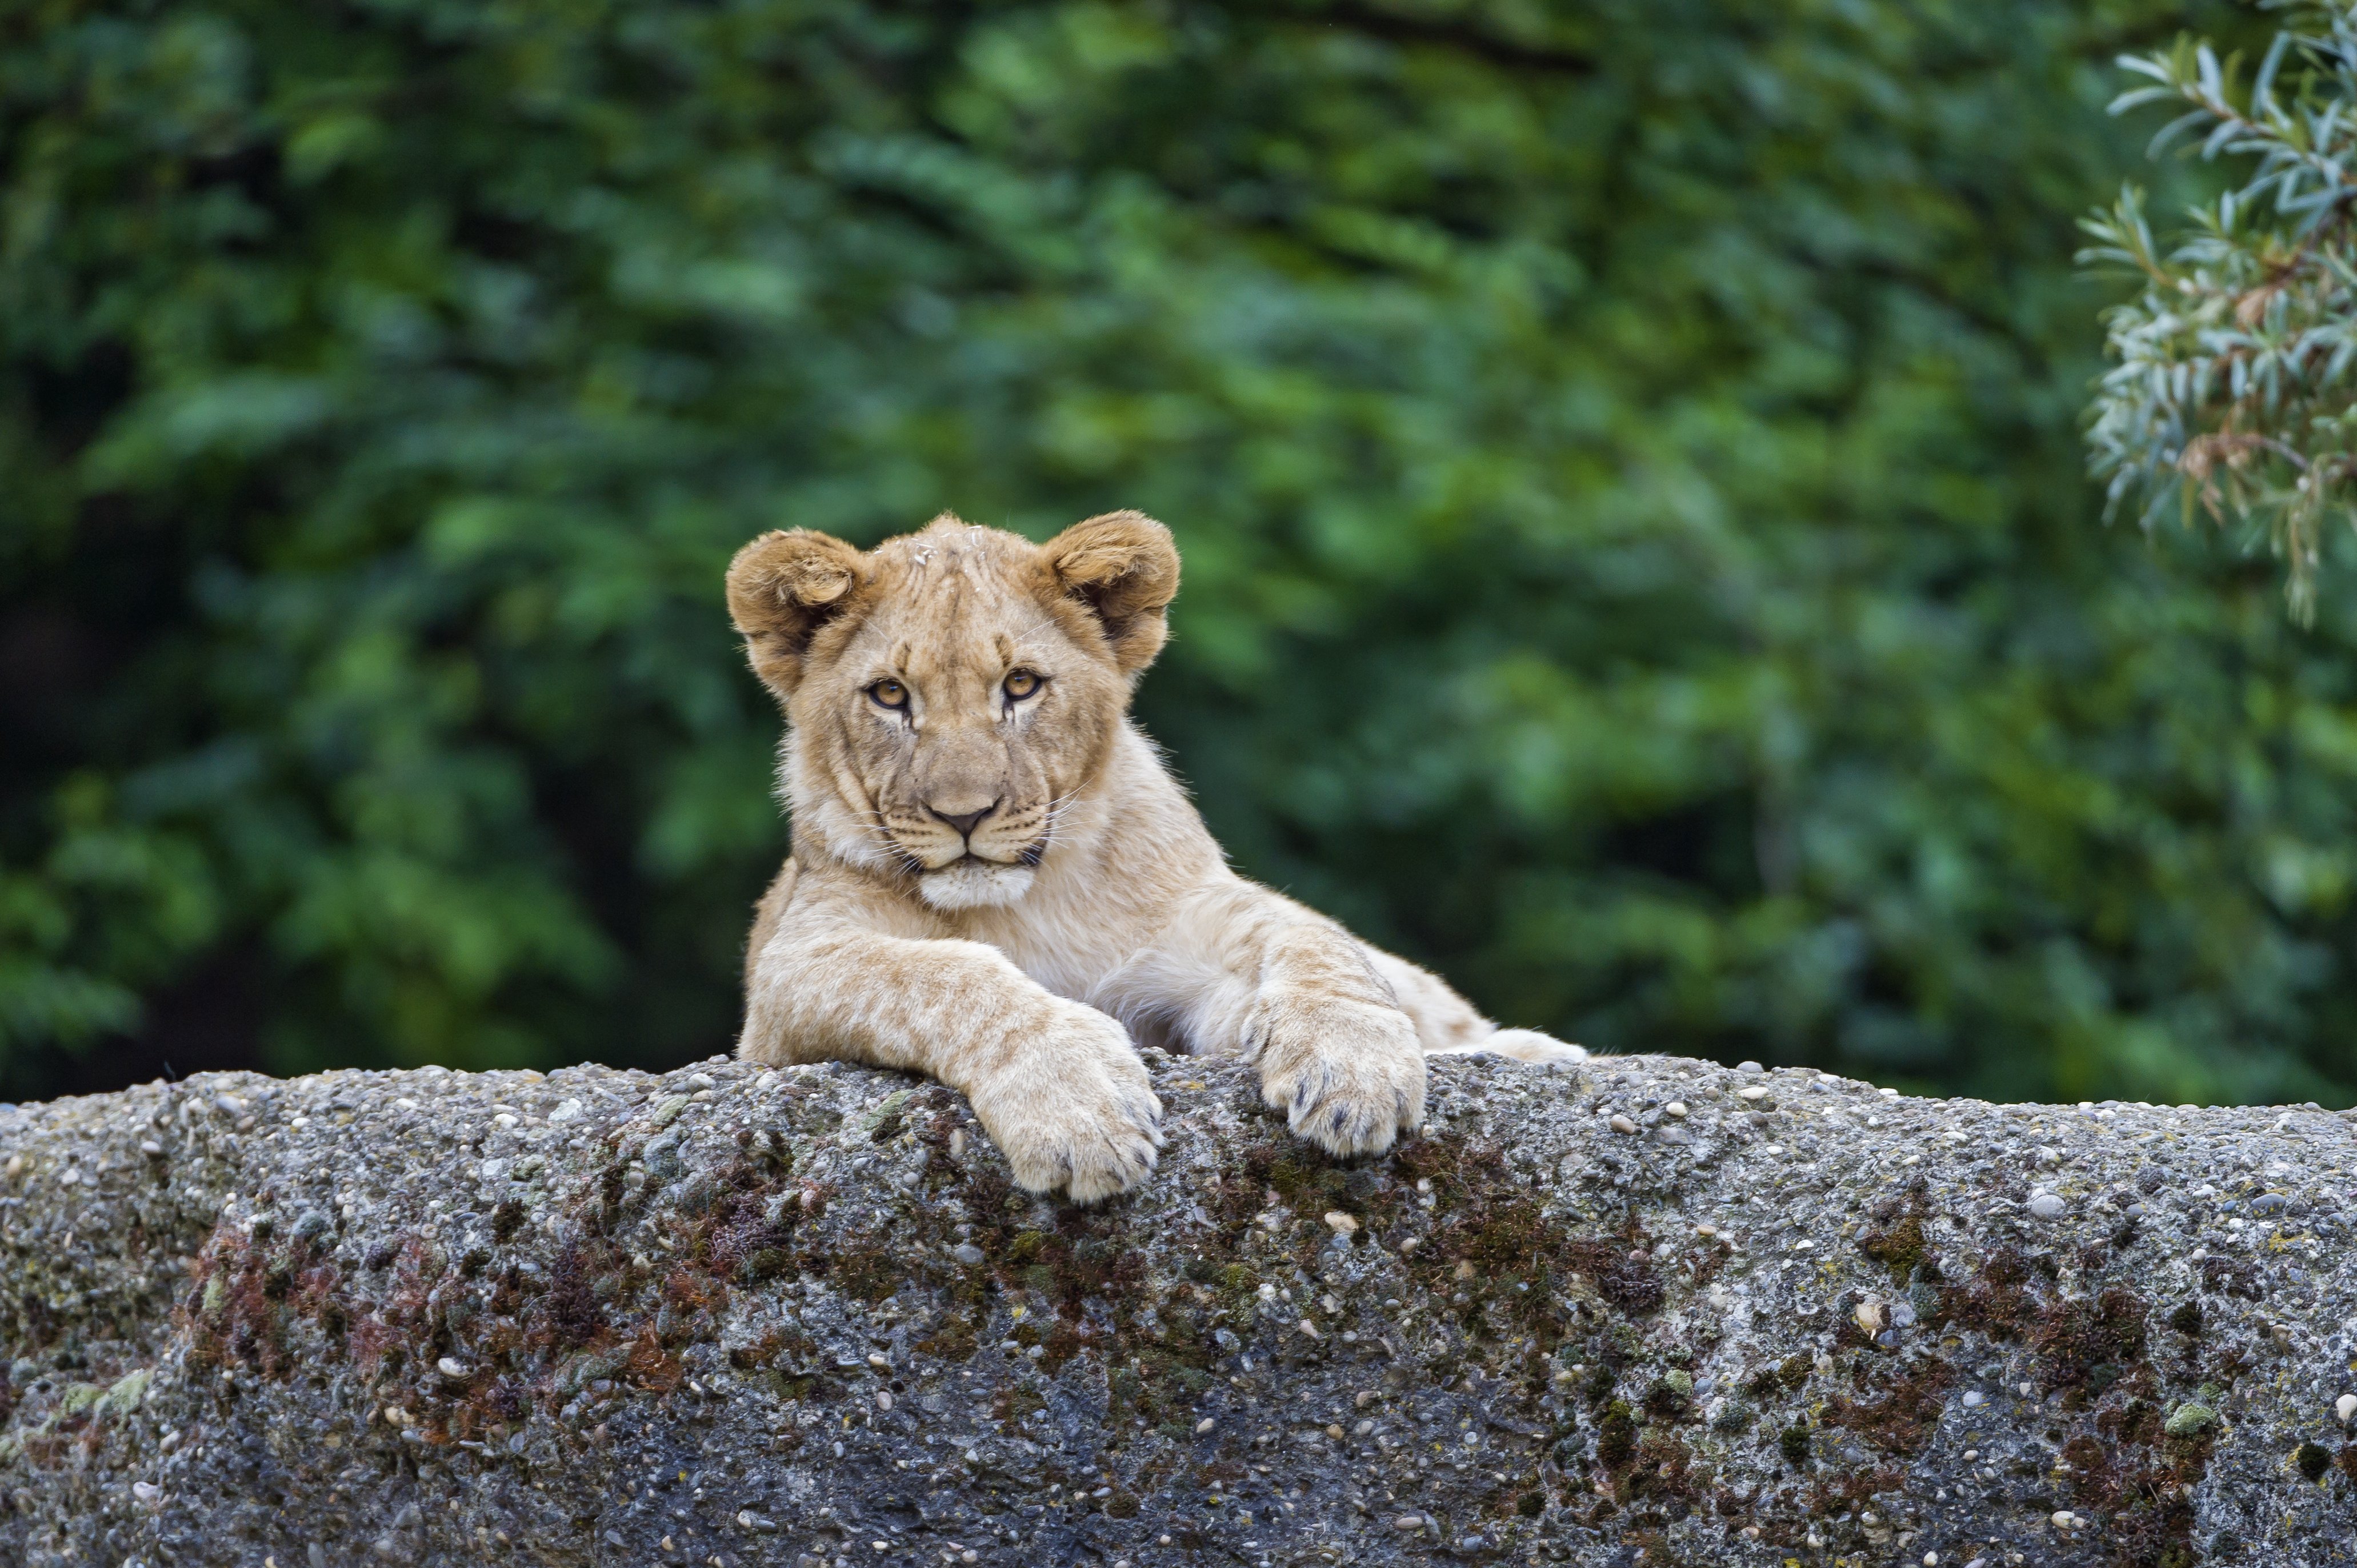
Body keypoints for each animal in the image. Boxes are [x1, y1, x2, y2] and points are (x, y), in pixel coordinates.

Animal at [727, 511, 1585, 1202]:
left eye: (1021, 685)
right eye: (890, 696)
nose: (964, 815)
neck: (1026, 902)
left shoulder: (1196, 926)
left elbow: (1313, 941)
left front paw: (1354, 1067)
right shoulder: (784, 984)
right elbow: (944, 975)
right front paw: (1079, 1113)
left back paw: (1540, 1053)